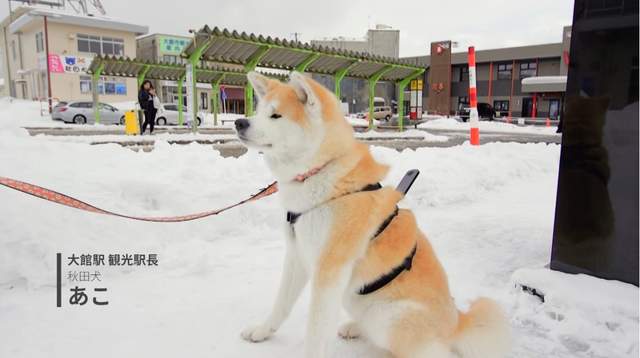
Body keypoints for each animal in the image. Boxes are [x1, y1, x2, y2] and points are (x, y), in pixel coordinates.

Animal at [235, 70, 510, 358]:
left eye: (276, 115)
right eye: (259, 111)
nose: (239, 122)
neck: (321, 174)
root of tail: (456, 323)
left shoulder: (329, 270)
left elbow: (315, 332)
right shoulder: (297, 255)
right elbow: (281, 305)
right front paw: (262, 331)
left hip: (388, 315)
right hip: (356, 298)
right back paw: (354, 327)